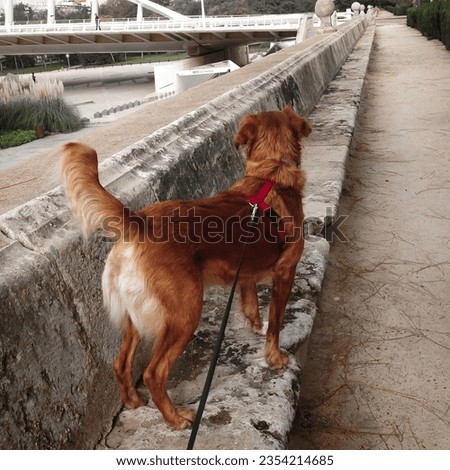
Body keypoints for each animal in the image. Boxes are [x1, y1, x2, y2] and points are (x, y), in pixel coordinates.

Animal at [61, 106, 312, 430]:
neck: (271, 171)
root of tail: (140, 222)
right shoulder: (285, 273)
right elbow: (276, 324)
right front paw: (275, 357)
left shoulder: (244, 273)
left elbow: (252, 304)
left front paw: (254, 325)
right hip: (185, 313)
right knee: (153, 373)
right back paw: (175, 418)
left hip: (135, 316)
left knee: (121, 363)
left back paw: (133, 401)